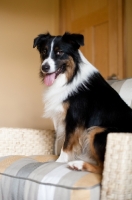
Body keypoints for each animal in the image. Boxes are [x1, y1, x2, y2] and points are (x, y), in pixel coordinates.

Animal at [32, 32, 132, 173]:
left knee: (102, 167)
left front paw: (59, 161)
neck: (70, 77)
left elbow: (66, 143)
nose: (44, 67)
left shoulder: (74, 118)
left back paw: (78, 165)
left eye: (59, 52)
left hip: (97, 131)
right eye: (44, 52)